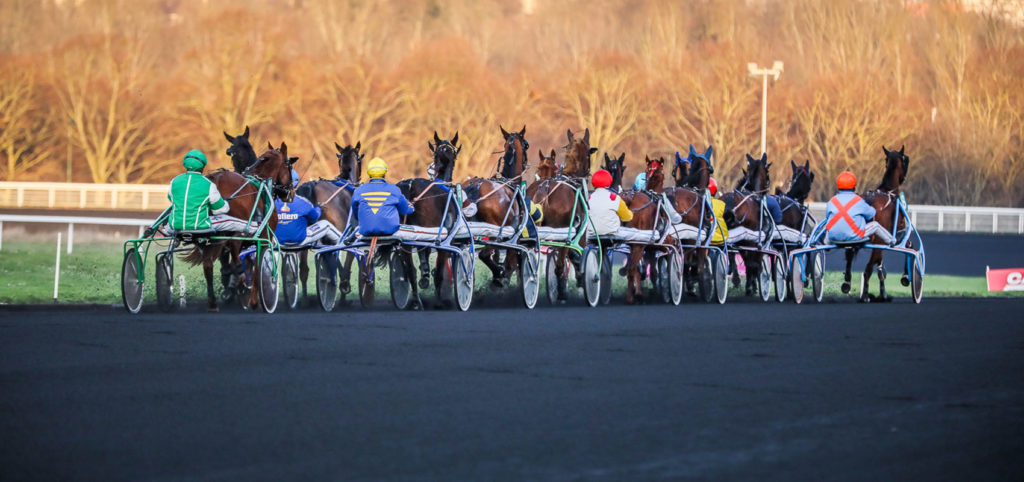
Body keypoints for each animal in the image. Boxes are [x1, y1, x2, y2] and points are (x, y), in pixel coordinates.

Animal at [186, 141, 296, 311]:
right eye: (289, 165)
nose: (291, 193)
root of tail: (218, 178)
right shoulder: (263, 240)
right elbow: (257, 270)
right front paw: (255, 300)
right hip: (235, 231)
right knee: (233, 251)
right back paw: (241, 278)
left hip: (212, 237)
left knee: (208, 265)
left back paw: (214, 300)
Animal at [462, 126, 528, 288]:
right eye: (526, 145)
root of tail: (476, 185)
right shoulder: (514, 237)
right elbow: (511, 263)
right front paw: (503, 276)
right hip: (495, 232)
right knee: (484, 254)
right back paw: (499, 273)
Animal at [528, 128, 598, 302]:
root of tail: (544, 187)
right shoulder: (580, 229)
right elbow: (579, 252)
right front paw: (581, 277)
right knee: (560, 265)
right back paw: (561, 291)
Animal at [839, 146, 913, 302]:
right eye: (905, 160)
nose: (903, 178)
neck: (888, 191)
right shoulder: (898, 232)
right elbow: (909, 245)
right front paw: (905, 277)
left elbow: (880, 267)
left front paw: (883, 293)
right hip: (878, 241)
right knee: (867, 269)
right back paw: (865, 295)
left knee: (851, 257)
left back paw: (847, 283)